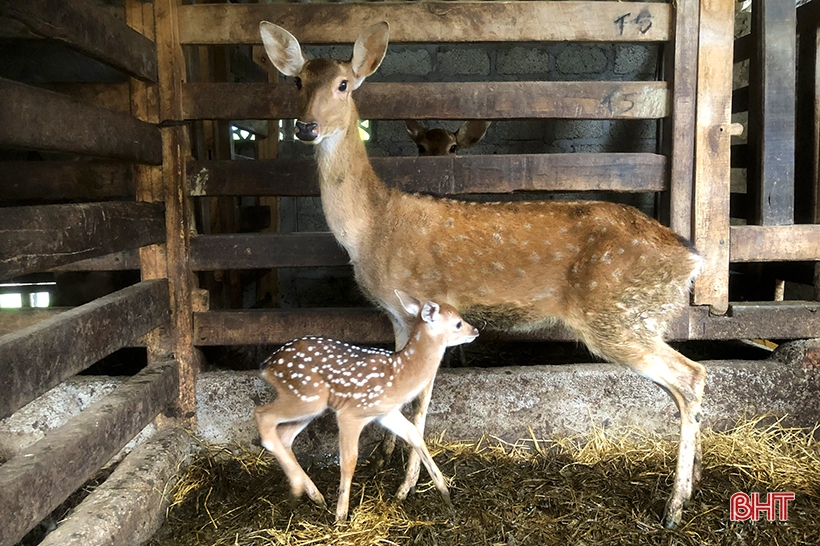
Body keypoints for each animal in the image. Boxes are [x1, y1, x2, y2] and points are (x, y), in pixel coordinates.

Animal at [253, 292, 478, 520]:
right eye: (458, 323)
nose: (476, 331)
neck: (399, 375)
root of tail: (267, 366)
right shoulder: (352, 413)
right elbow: (349, 460)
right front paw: (341, 517)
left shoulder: (385, 412)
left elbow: (414, 434)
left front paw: (446, 495)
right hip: (306, 397)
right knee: (263, 415)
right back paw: (300, 488)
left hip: (309, 404)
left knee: (284, 436)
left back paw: (315, 495)